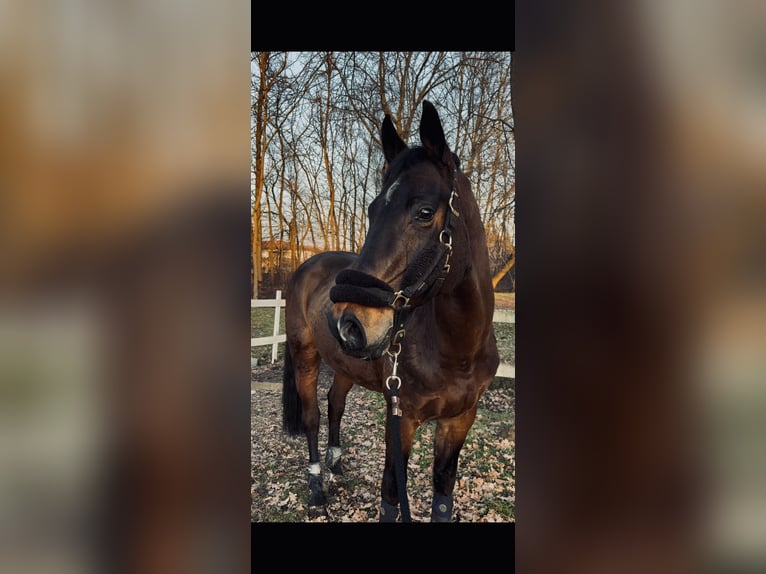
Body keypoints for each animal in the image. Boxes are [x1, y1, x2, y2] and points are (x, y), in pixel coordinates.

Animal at [281, 100, 500, 522]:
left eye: (425, 212)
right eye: (371, 210)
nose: (348, 322)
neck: (458, 350)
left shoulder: (459, 421)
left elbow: (442, 497)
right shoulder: (402, 419)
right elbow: (390, 497)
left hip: (346, 363)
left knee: (335, 402)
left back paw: (335, 462)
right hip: (305, 356)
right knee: (313, 417)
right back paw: (317, 484)